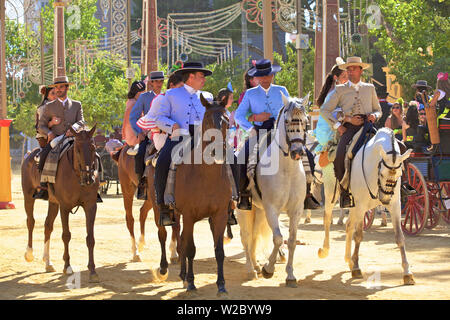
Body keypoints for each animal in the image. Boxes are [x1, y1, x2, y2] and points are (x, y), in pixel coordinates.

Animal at [21, 126, 100, 282]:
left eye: (93, 148)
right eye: (77, 149)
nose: (89, 178)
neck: (77, 176)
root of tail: (29, 155)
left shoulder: (90, 206)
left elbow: (90, 238)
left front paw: (93, 270)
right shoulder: (65, 207)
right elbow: (66, 235)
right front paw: (67, 266)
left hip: (53, 203)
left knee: (48, 226)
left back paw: (48, 262)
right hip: (28, 196)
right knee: (31, 222)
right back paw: (29, 253)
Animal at [166, 96, 234, 296]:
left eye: (226, 120)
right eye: (208, 121)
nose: (217, 151)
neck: (206, 177)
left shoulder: (219, 215)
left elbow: (219, 251)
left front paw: (221, 285)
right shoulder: (189, 215)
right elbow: (190, 249)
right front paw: (191, 283)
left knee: (181, 238)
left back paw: (182, 274)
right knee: (180, 239)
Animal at [237, 93, 308, 288]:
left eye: (306, 121)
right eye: (287, 120)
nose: (297, 151)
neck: (287, 170)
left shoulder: (296, 210)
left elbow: (291, 240)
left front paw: (290, 275)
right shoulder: (272, 209)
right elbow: (277, 238)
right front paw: (268, 269)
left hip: (258, 209)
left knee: (253, 236)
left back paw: (255, 265)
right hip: (243, 209)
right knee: (246, 236)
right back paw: (250, 269)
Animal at [320, 127, 414, 284]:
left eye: (400, 173)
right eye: (381, 174)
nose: (385, 199)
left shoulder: (395, 205)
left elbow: (400, 237)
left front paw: (407, 273)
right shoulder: (361, 206)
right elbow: (358, 236)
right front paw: (356, 268)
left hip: (354, 207)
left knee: (348, 226)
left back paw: (349, 260)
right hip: (330, 194)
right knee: (327, 218)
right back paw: (325, 250)